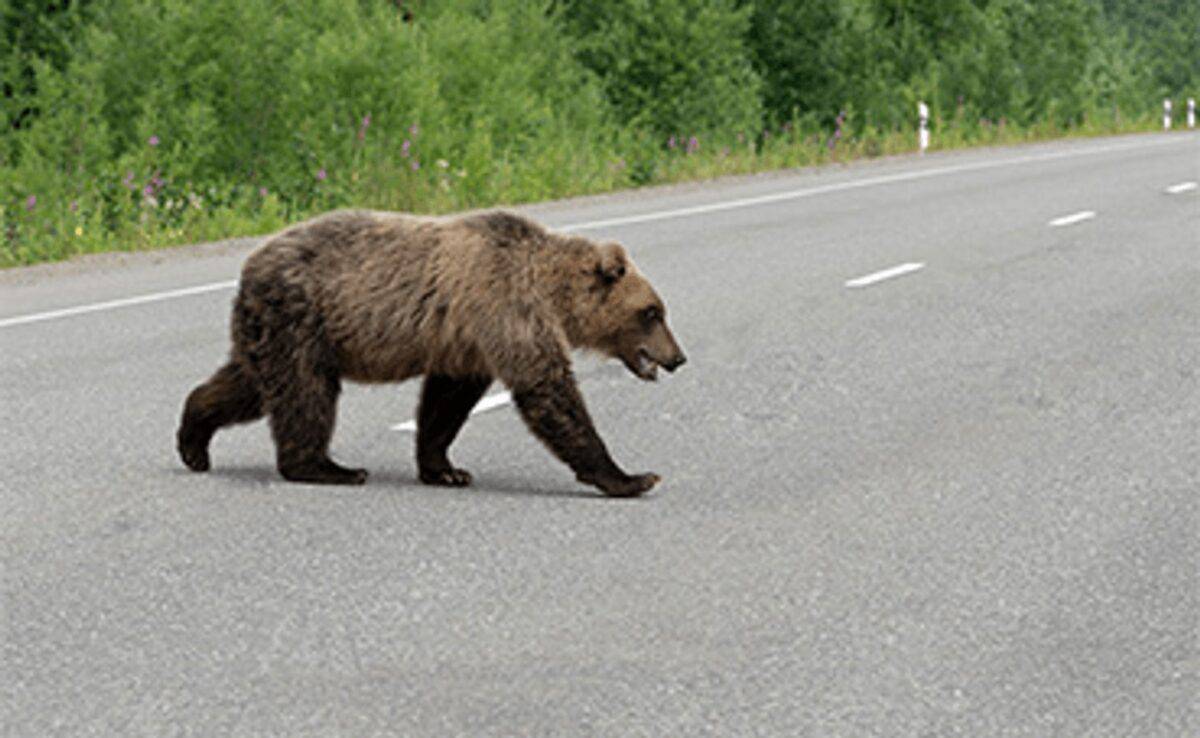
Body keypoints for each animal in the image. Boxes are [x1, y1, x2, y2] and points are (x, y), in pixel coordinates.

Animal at [176, 208, 686, 496]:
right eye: (652, 312)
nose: (677, 357)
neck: (550, 290)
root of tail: (249, 266)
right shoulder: (503, 306)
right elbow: (547, 389)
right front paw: (633, 477)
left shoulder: (465, 340)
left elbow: (447, 402)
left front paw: (445, 469)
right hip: (302, 317)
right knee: (305, 391)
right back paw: (329, 468)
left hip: (272, 329)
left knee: (250, 384)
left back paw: (194, 440)